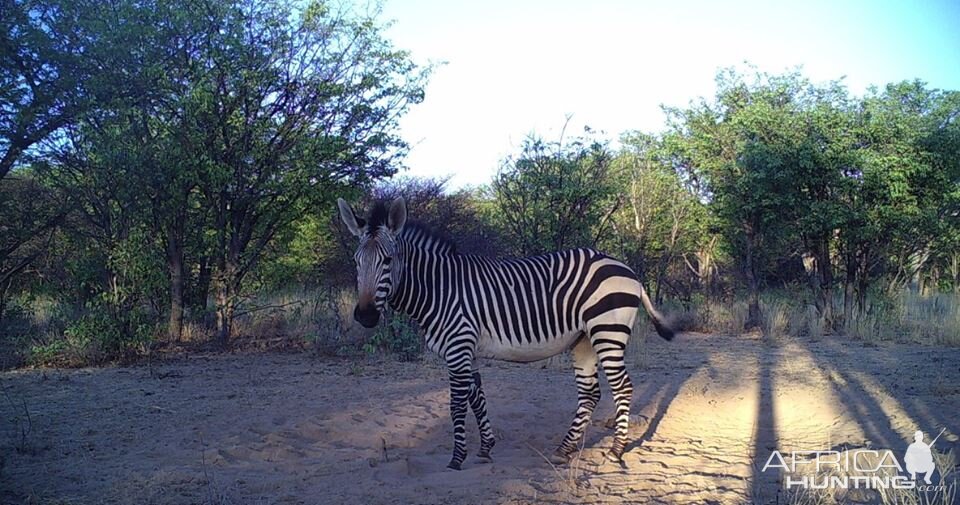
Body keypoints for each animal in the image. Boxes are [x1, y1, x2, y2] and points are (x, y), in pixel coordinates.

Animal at [338, 196, 676, 468]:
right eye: (355, 261)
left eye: (387, 260)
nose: (365, 316)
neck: (439, 289)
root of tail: (627, 269)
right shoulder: (466, 350)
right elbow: (477, 397)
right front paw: (486, 448)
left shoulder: (458, 346)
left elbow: (456, 404)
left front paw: (457, 458)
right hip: (584, 341)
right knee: (591, 393)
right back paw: (564, 450)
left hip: (608, 332)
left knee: (623, 388)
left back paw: (617, 450)